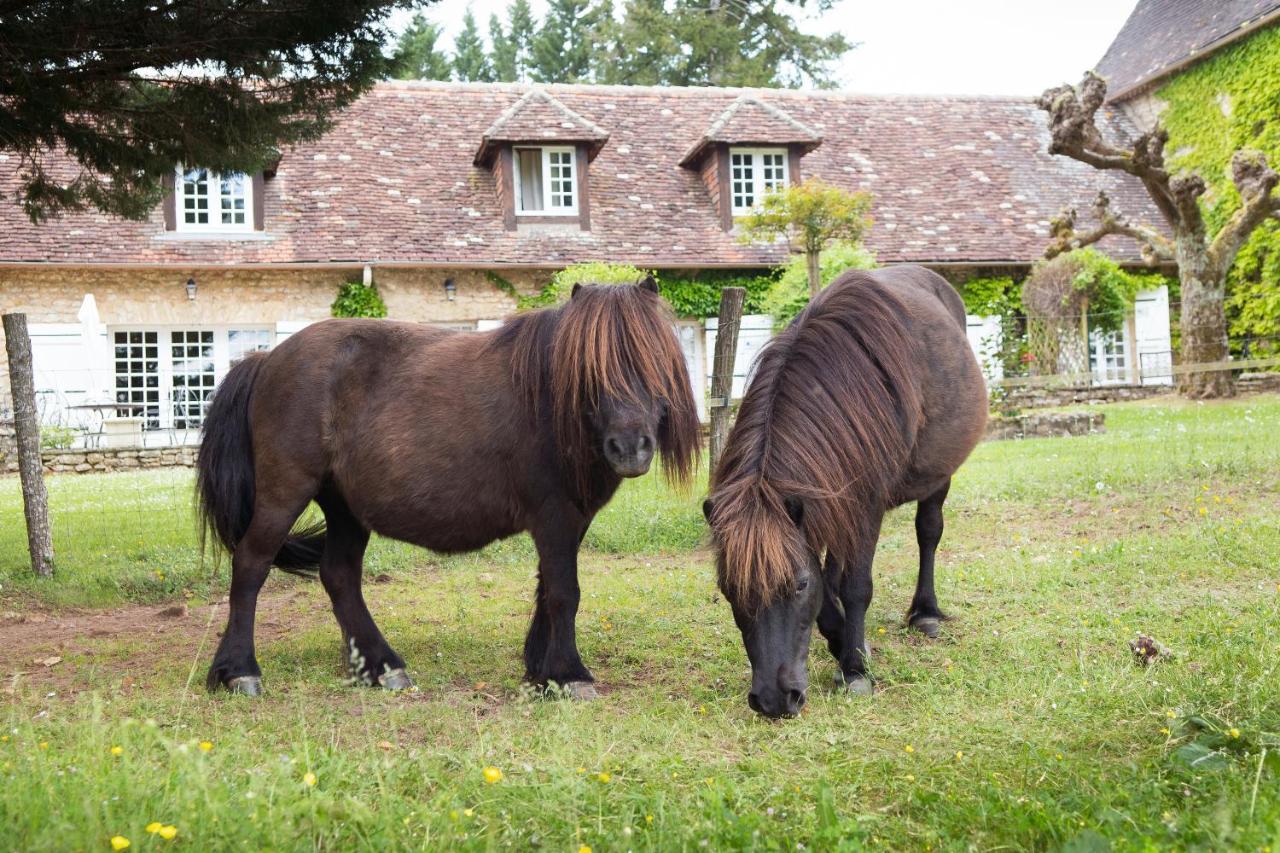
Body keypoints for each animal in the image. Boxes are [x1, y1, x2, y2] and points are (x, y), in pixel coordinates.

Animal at [199, 279, 701, 696]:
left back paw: (381, 667)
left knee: (339, 575)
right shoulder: (555, 517)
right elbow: (564, 592)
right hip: (284, 493)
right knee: (251, 565)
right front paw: (569, 675)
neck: (550, 401)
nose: (630, 447)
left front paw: (541, 672)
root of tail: (266, 359)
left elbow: (548, 589)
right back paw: (240, 671)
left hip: (345, 508)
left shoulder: (571, 521)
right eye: (590, 369)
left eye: (654, 361)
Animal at [701, 262, 988, 712]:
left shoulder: (865, 505)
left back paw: (925, 612)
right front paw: (844, 645)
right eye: (729, 588)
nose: (773, 700)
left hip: (937, 476)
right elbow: (828, 582)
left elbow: (855, 587)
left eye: (798, 585)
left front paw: (854, 668)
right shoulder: (821, 503)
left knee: (928, 532)